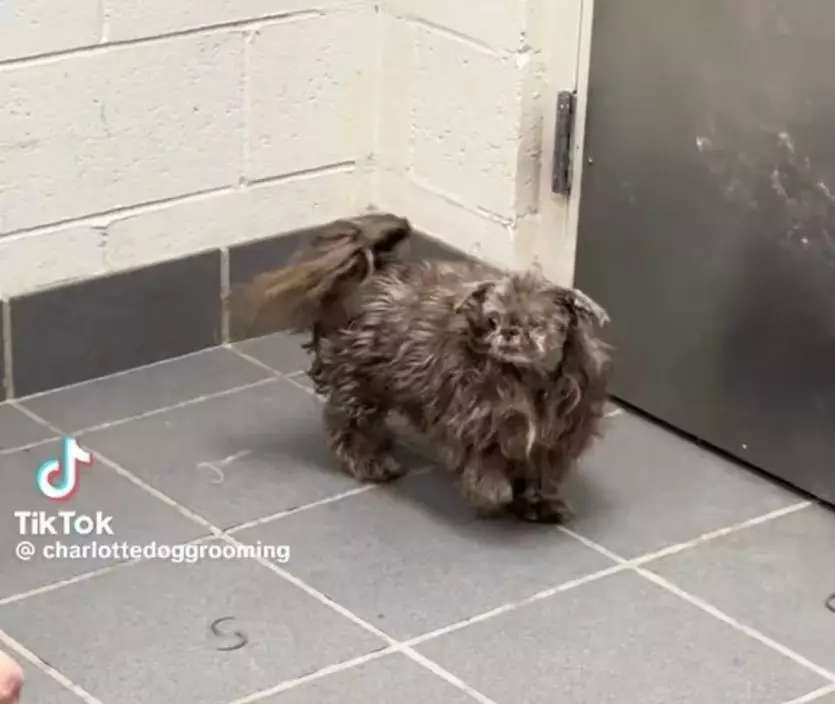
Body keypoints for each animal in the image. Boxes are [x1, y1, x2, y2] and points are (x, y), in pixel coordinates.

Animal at [228, 212, 612, 522]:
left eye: (536, 324)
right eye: (492, 319)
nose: (509, 331)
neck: (528, 381)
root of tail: (372, 273)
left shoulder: (557, 437)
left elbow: (540, 473)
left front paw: (538, 503)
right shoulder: (475, 420)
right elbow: (487, 462)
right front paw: (492, 492)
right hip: (360, 382)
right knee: (349, 426)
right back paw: (371, 463)